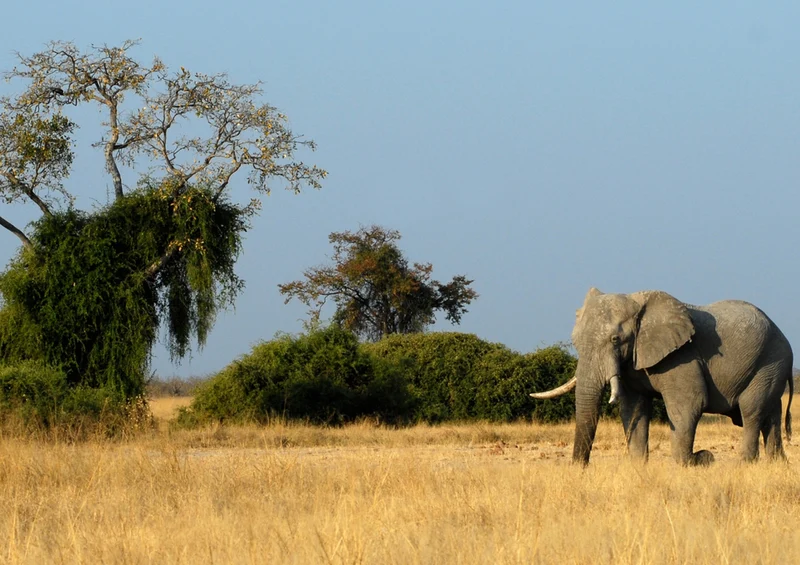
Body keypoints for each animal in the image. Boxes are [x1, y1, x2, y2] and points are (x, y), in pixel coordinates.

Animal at [530, 288, 794, 466]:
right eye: (574, 342)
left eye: (615, 340)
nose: (580, 468)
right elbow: (633, 408)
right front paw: (638, 467)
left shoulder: (681, 356)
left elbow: (688, 404)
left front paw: (699, 460)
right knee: (771, 414)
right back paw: (776, 464)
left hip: (771, 362)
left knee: (751, 412)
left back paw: (745, 464)